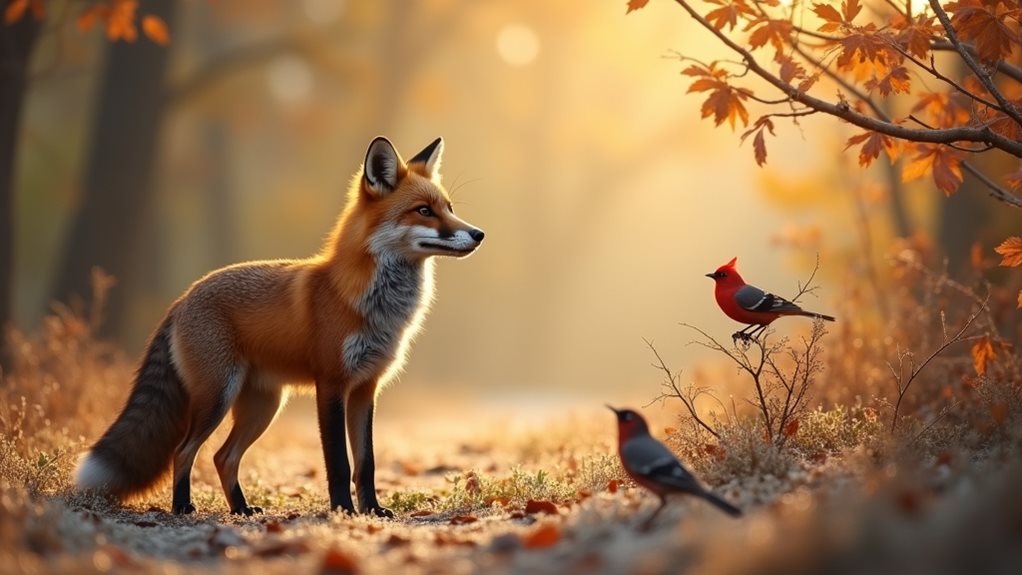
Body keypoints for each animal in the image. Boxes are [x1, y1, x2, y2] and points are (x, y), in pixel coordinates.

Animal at [74, 136, 484, 517]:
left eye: (449, 208)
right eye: (423, 211)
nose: (478, 234)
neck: (373, 304)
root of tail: (184, 296)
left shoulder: (366, 387)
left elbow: (366, 463)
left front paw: (372, 510)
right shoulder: (331, 384)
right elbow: (339, 462)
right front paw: (342, 510)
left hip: (263, 406)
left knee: (223, 457)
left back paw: (240, 509)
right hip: (217, 397)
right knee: (183, 450)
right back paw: (182, 507)